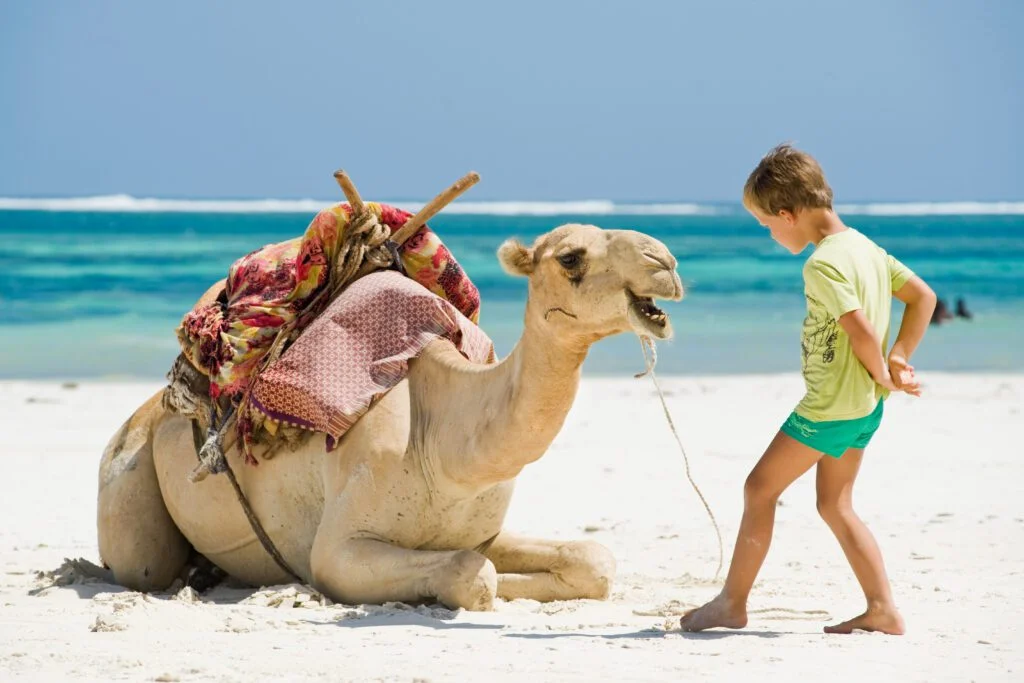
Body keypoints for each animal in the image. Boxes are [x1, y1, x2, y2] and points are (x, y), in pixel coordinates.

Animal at [96, 222, 683, 610]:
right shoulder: (338, 548)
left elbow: (591, 560)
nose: (667, 264)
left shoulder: (480, 529)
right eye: (571, 257)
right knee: (140, 562)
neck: (443, 442)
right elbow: (475, 576)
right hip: (127, 480)